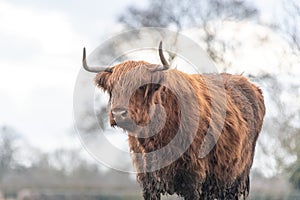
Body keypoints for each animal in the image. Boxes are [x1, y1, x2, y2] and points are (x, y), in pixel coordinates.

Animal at [81, 41, 264, 199]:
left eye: (141, 87)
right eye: (112, 88)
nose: (118, 113)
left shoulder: (193, 178)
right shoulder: (148, 181)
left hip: (235, 177)